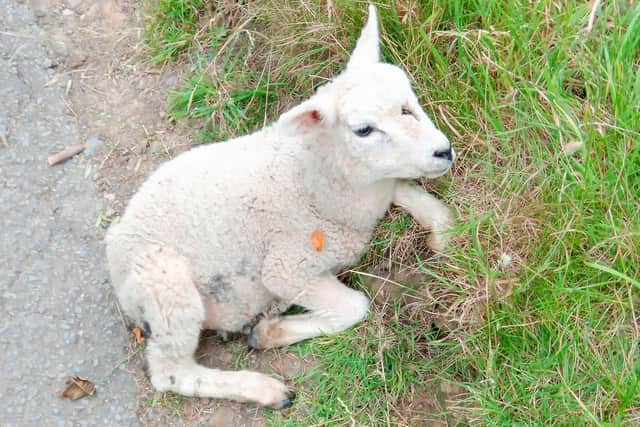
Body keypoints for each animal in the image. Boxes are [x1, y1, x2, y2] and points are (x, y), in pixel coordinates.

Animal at [106, 5, 456, 410]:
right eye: (364, 130)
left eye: (409, 103)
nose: (443, 151)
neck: (312, 176)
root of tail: (115, 246)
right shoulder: (287, 269)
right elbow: (355, 306)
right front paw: (271, 332)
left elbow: (421, 200)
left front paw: (441, 232)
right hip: (165, 288)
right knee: (170, 371)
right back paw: (264, 388)